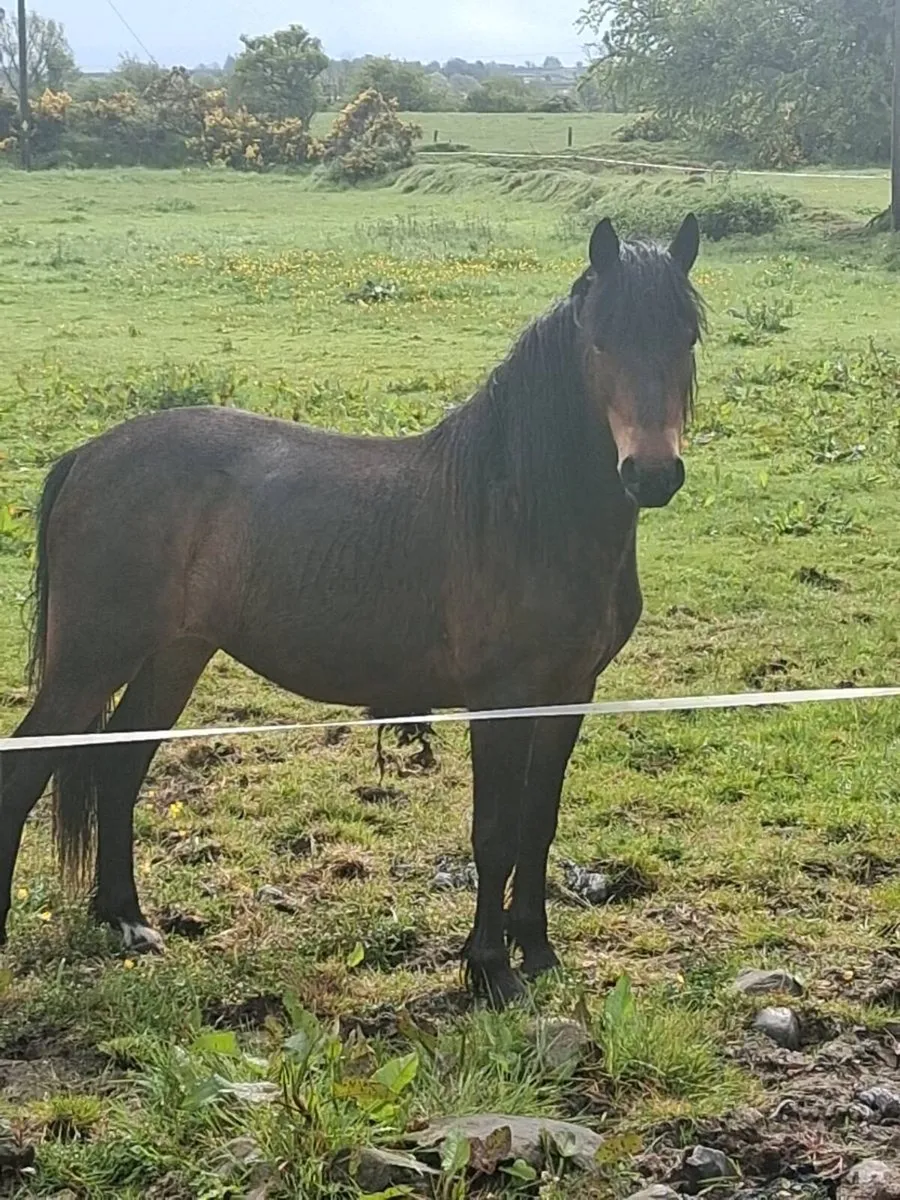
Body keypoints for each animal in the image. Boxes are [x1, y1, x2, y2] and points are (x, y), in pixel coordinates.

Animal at [0, 214, 704, 1006]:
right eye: (600, 340)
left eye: (686, 337)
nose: (651, 474)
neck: (523, 510)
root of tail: (87, 456)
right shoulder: (500, 700)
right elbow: (494, 831)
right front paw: (491, 970)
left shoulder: (569, 694)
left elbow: (537, 825)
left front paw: (540, 954)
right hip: (88, 665)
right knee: (21, 781)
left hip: (173, 656)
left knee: (120, 769)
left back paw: (127, 919)